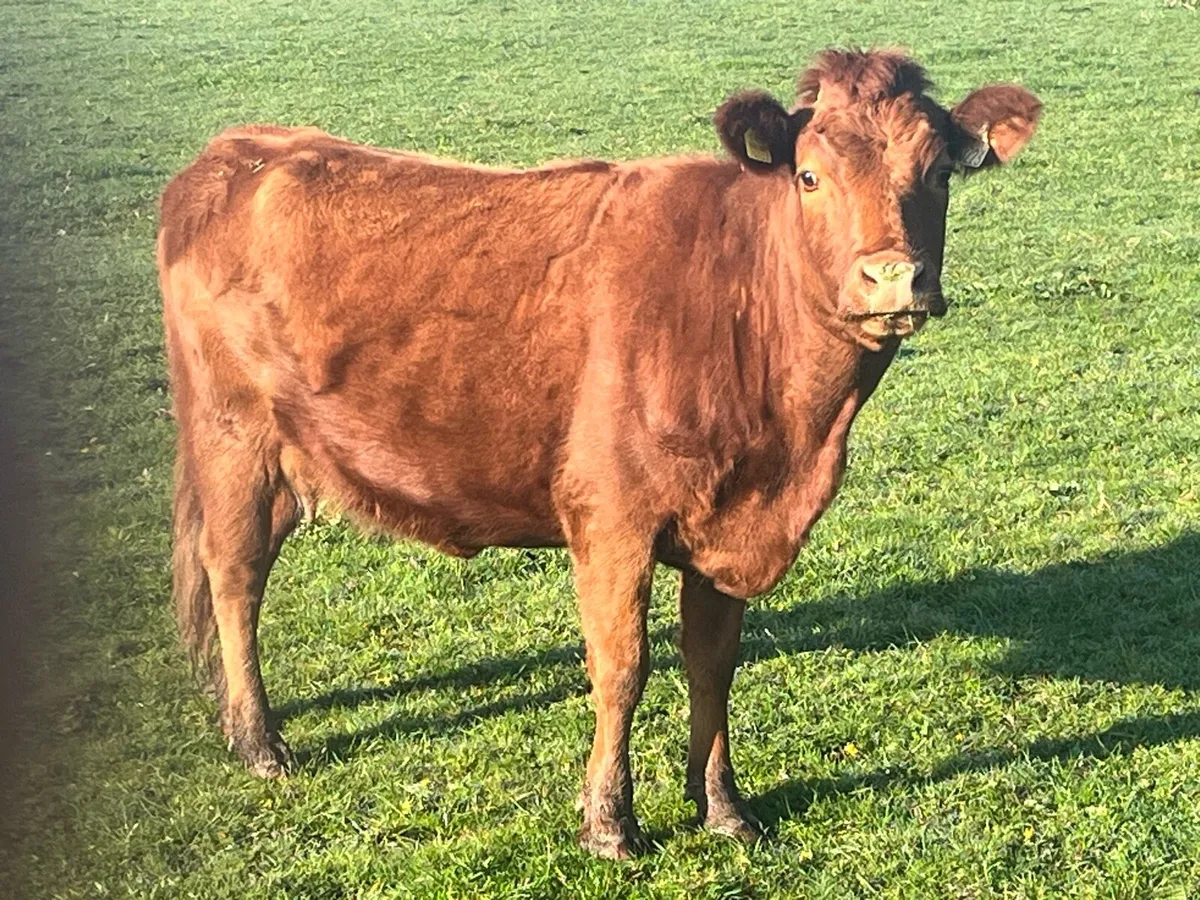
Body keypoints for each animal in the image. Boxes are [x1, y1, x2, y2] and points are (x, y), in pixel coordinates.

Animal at [158, 49, 1040, 858]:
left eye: (939, 174)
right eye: (810, 177)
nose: (892, 279)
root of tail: (237, 150)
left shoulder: (728, 529)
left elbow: (713, 663)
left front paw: (723, 806)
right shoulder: (613, 520)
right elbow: (622, 668)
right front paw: (611, 821)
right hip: (231, 436)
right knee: (234, 575)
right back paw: (258, 741)